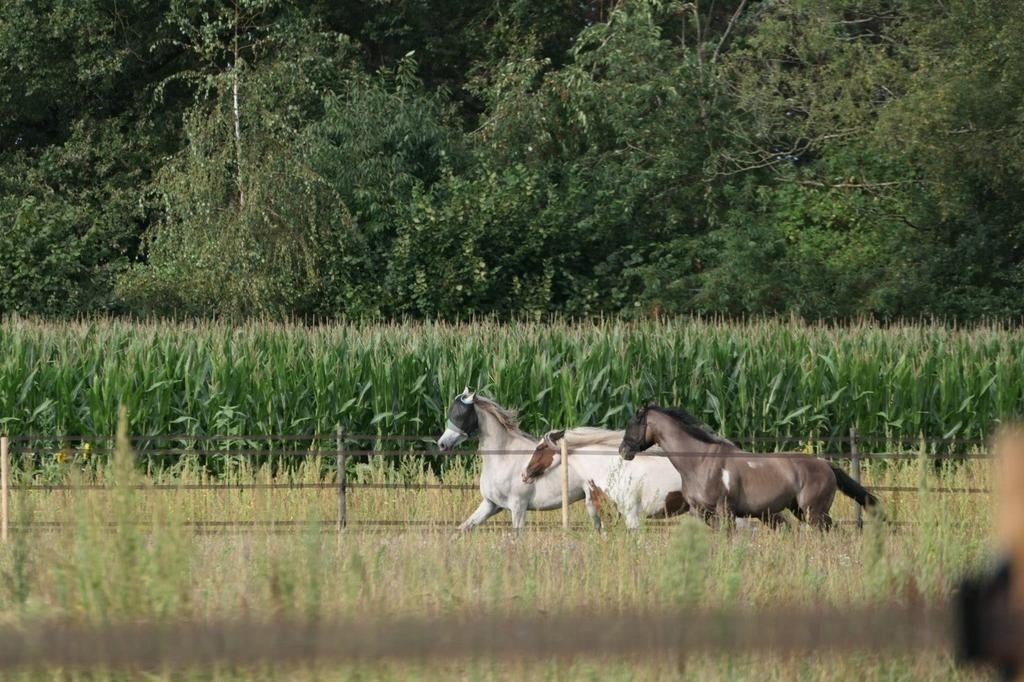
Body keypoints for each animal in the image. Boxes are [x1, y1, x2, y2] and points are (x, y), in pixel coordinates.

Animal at [437, 388, 605, 530]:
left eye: (460, 414)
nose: (442, 444)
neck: (502, 457)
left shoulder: (518, 507)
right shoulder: (490, 505)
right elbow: (462, 529)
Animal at [617, 404, 882, 530]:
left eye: (633, 423)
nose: (623, 451)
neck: (700, 461)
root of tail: (826, 464)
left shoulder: (724, 511)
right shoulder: (701, 512)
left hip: (814, 512)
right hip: (801, 511)